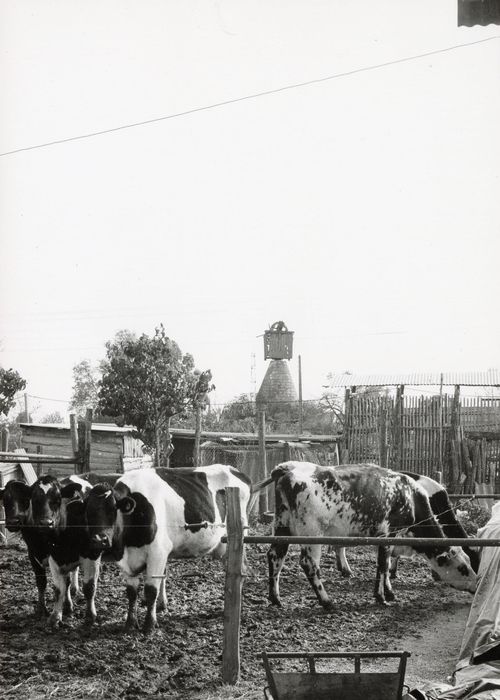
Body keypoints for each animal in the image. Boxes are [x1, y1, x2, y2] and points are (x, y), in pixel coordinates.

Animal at [84, 464, 254, 636]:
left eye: (112, 510)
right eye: (88, 513)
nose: (99, 539)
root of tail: (233, 469)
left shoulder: (158, 552)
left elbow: (151, 590)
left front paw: (149, 625)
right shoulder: (127, 559)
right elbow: (132, 593)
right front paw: (130, 623)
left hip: (235, 542)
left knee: (241, 569)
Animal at [262, 460, 476, 608]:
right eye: (463, 568)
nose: (476, 584)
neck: (409, 496)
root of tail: (286, 469)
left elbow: (386, 564)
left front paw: (388, 592)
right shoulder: (387, 534)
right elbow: (383, 565)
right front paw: (381, 597)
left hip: (282, 527)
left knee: (275, 555)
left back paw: (275, 598)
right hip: (311, 534)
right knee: (309, 563)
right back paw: (326, 600)